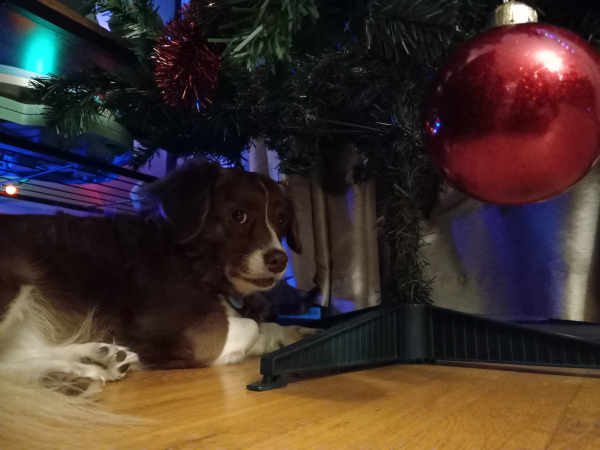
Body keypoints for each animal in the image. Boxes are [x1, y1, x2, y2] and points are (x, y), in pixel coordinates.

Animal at [0, 159, 316, 398]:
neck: (195, 262)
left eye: (281, 220)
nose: (280, 260)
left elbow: (267, 326)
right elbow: (250, 326)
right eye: (238, 215)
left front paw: (298, 335)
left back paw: (91, 363)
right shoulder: (186, 330)